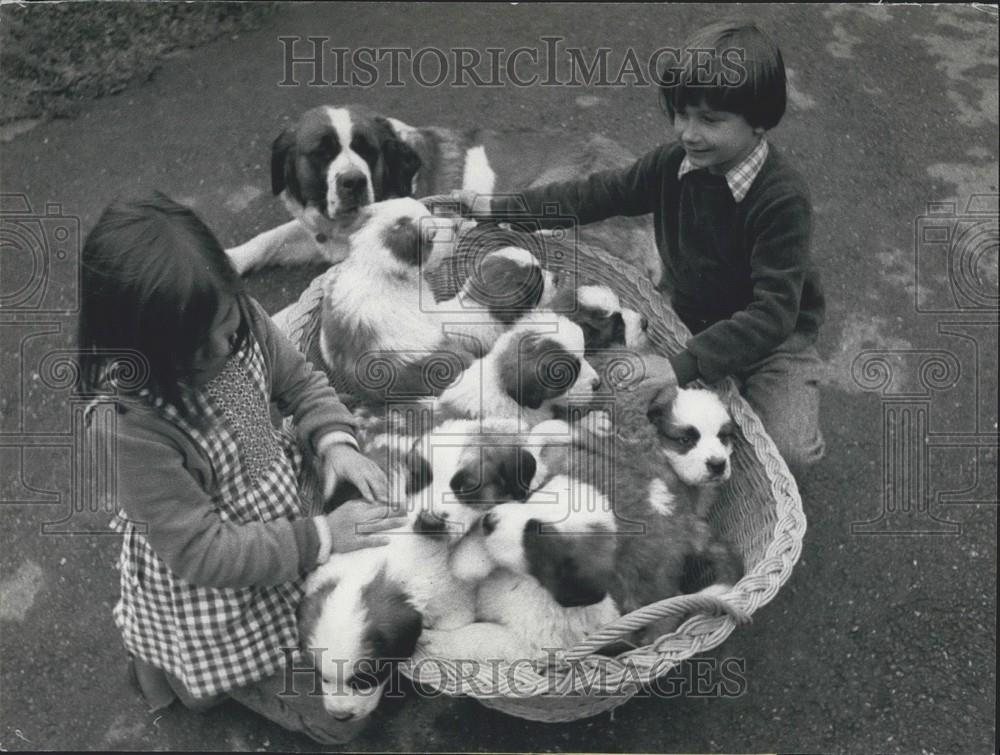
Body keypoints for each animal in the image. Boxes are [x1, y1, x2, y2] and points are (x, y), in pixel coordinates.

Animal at [224, 103, 660, 284]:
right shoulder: (318, 231)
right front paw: (230, 259)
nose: (353, 181)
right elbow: (273, 236)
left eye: (367, 150)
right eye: (322, 152)